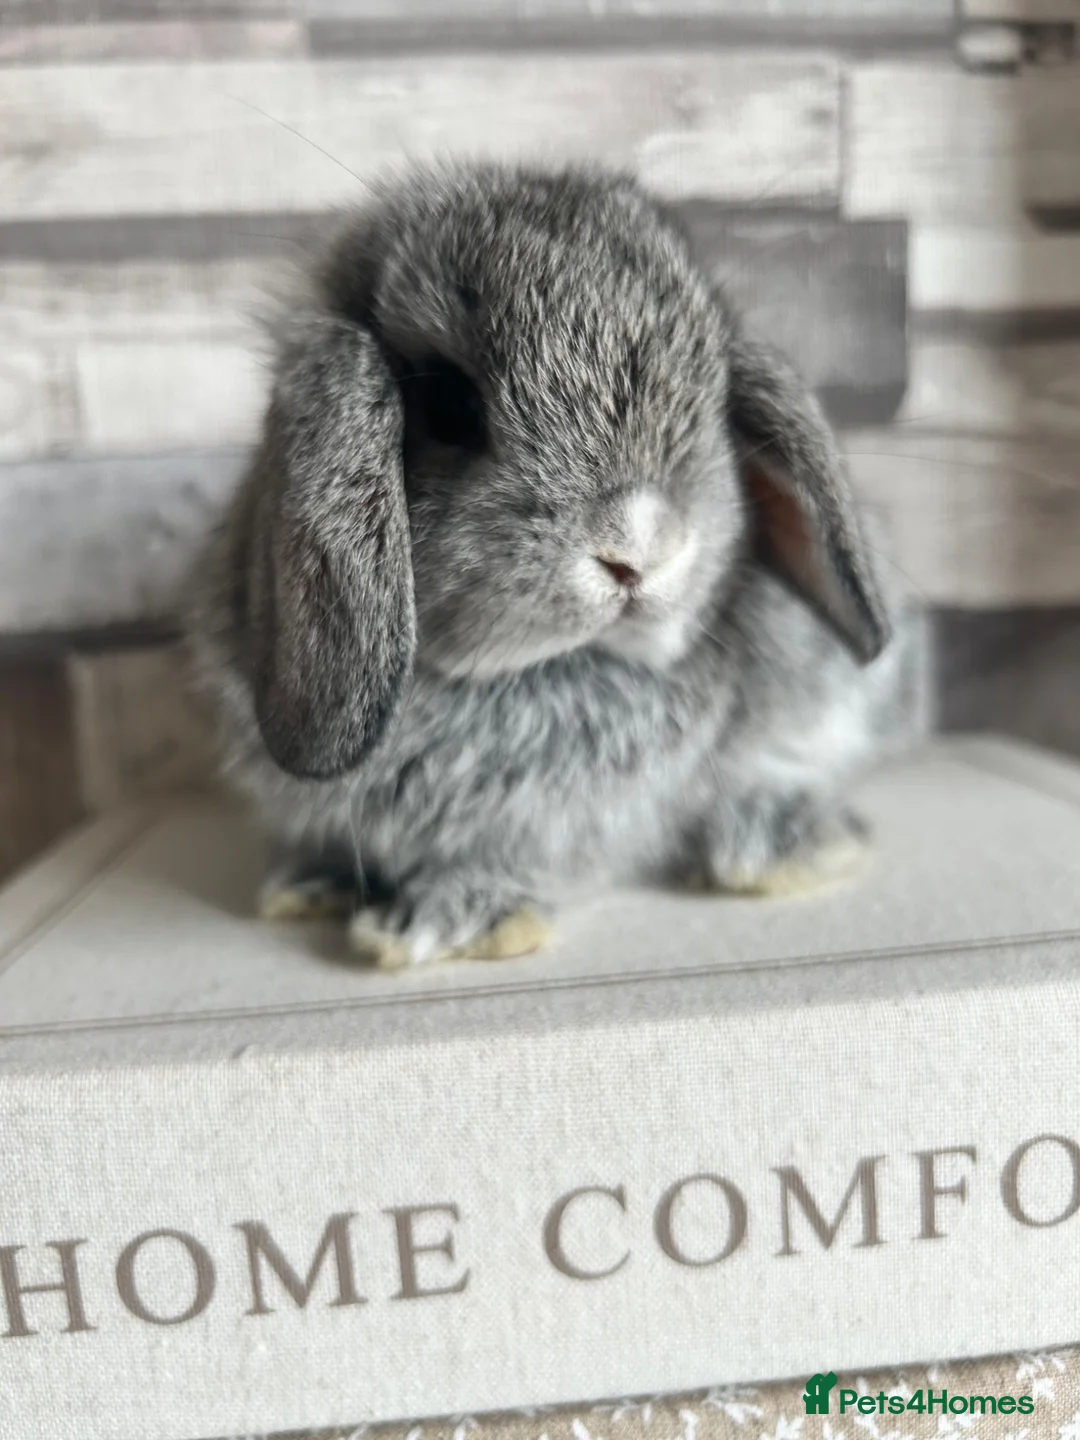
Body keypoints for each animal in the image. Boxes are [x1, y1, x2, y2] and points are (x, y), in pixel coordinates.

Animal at [184, 159, 930, 969]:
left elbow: (511, 862)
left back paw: (779, 843)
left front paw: (441, 921)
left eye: (714, 397)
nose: (642, 547)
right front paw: (309, 883)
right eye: (448, 405)